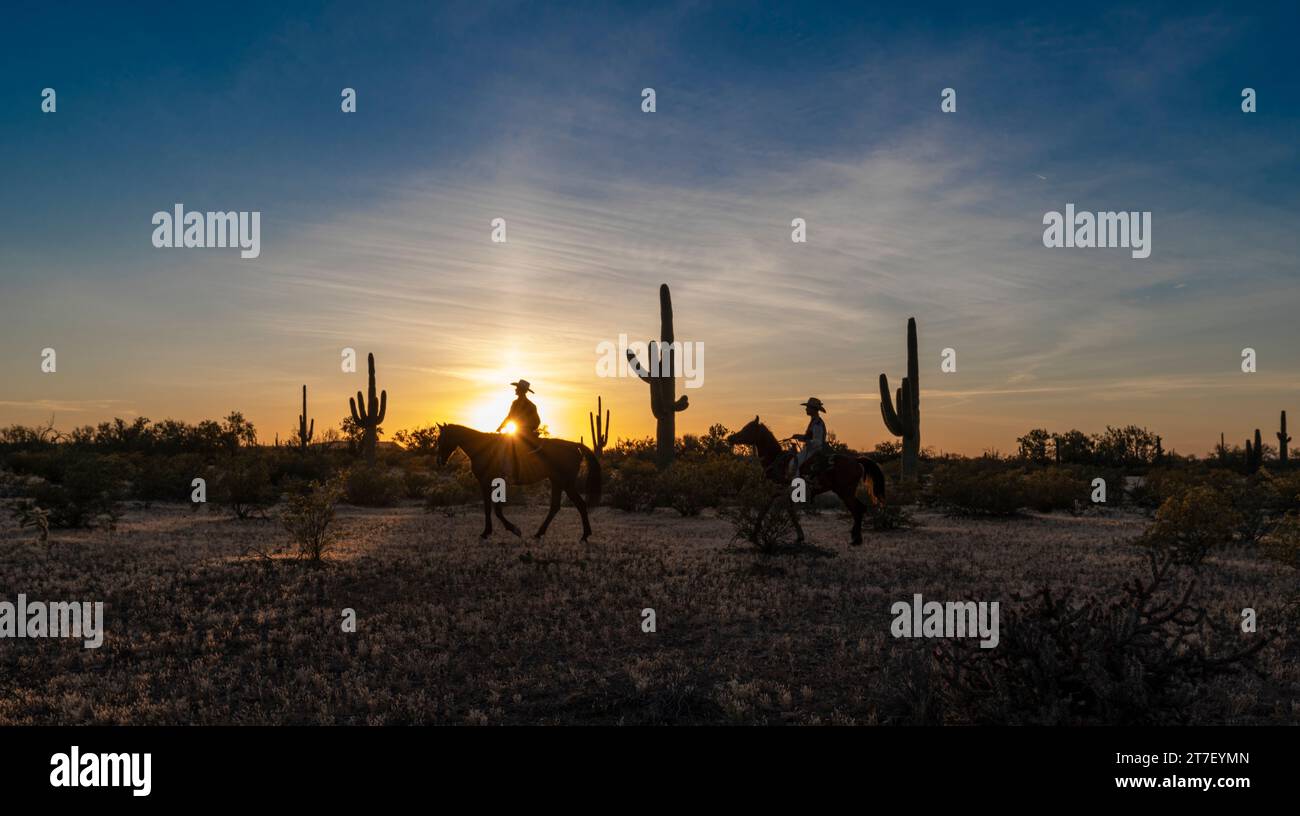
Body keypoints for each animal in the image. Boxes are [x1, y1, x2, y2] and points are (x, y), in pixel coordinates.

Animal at [434, 423, 600, 545]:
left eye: (441, 439)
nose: (440, 461)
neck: (483, 448)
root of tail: (574, 445)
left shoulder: (488, 482)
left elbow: (495, 510)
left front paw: (512, 529)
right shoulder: (488, 483)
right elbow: (490, 508)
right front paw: (488, 532)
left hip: (566, 483)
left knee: (580, 505)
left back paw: (584, 535)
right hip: (557, 482)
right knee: (555, 507)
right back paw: (539, 534)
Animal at [728, 413, 889, 548]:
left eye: (747, 428)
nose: (731, 438)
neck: (776, 460)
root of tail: (856, 460)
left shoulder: (778, 490)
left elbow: (765, 509)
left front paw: (754, 536)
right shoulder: (784, 493)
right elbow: (787, 510)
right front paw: (800, 536)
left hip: (845, 492)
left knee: (858, 509)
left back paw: (856, 539)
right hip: (846, 492)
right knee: (859, 509)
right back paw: (856, 537)